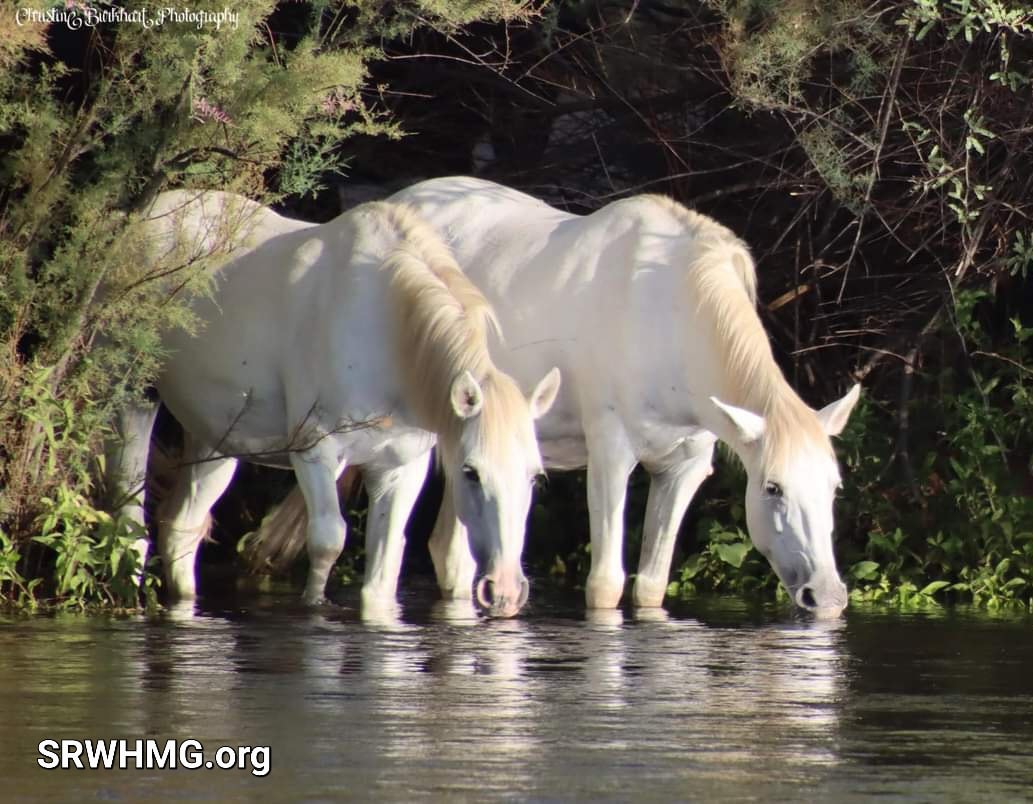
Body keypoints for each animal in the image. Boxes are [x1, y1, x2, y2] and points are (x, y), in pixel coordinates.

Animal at [105, 189, 561, 615]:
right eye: (470, 472)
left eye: (535, 477)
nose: (504, 591)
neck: (387, 331)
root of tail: (138, 220)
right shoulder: (315, 450)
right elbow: (327, 542)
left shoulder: (400, 468)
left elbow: (383, 571)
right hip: (133, 396)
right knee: (129, 517)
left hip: (213, 435)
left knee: (181, 527)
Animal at [384, 176, 859, 615]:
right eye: (773, 488)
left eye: (835, 487)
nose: (827, 596)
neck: (673, 322)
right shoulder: (611, 454)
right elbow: (605, 585)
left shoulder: (683, 467)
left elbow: (650, 585)